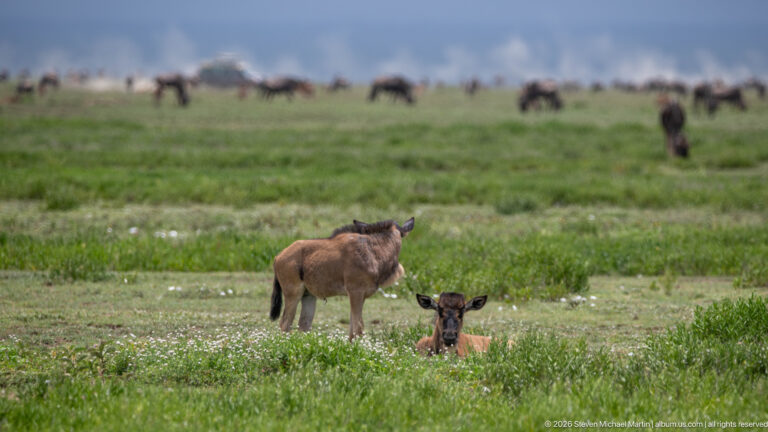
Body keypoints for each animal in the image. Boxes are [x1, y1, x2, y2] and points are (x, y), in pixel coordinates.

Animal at [271, 218, 414, 340]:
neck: (372, 251)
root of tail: (278, 256)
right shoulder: (355, 292)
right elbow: (358, 327)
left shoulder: (359, 296)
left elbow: (352, 329)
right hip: (293, 294)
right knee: (285, 324)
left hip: (308, 296)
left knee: (304, 325)